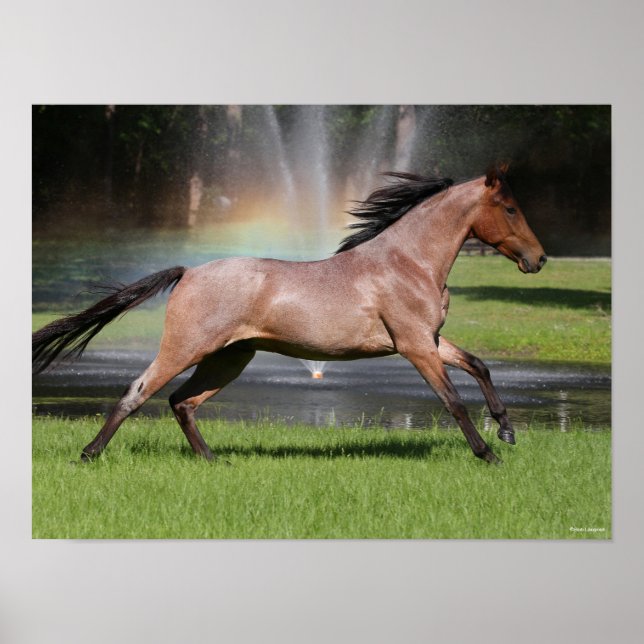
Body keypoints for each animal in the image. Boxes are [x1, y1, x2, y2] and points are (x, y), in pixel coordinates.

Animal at [32, 165, 547, 464]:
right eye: (509, 207)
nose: (538, 259)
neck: (408, 261)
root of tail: (189, 271)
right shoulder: (415, 345)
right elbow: (452, 400)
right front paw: (488, 454)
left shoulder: (431, 339)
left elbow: (479, 365)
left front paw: (507, 430)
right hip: (187, 348)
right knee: (139, 391)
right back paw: (89, 454)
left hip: (229, 358)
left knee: (183, 402)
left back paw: (212, 461)